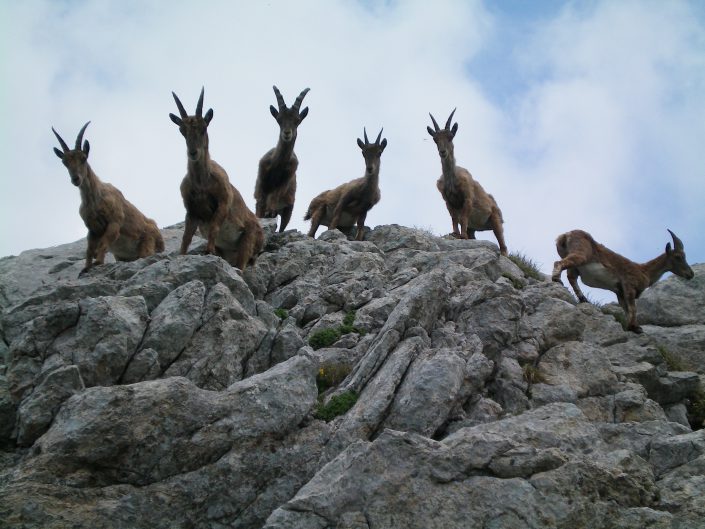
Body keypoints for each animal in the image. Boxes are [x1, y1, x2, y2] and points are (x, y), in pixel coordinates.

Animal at [52, 121, 164, 274]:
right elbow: (89, 249)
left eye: (83, 158)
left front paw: (98, 262)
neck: (95, 200)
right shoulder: (92, 229)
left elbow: (104, 242)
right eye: (65, 162)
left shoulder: (114, 222)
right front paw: (85, 269)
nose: (76, 179)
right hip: (121, 256)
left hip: (147, 243)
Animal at [169, 87, 262, 268]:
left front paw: (208, 251)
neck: (201, 182)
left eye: (204, 128)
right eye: (182, 131)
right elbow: (186, 237)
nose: (193, 153)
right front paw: (181, 257)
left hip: (248, 240)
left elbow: (214, 227)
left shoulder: (223, 202)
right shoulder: (191, 210)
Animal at [253, 85, 308, 230]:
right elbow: (260, 202)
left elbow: (275, 195)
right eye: (279, 119)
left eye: (297, 120)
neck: (276, 166)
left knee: (282, 227)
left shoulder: (285, 181)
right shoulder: (261, 184)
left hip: (288, 209)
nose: (287, 133)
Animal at [426, 110, 504, 256]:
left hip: (496, 219)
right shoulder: (448, 201)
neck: (452, 180)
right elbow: (454, 218)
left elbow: (462, 217)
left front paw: (462, 236)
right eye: (435, 139)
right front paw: (455, 234)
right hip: (473, 228)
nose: (443, 152)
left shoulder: (467, 198)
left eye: (451, 137)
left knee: (504, 246)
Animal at [552, 229, 692, 332]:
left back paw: (583, 299)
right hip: (581, 255)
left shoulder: (619, 291)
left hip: (576, 266)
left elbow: (626, 309)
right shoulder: (629, 285)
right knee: (559, 263)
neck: (644, 270)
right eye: (678, 257)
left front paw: (631, 326)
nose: (691, 274)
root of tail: (566, 235)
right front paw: (635, 328)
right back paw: (556, 280)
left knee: (571, 277)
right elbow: (633, 308)